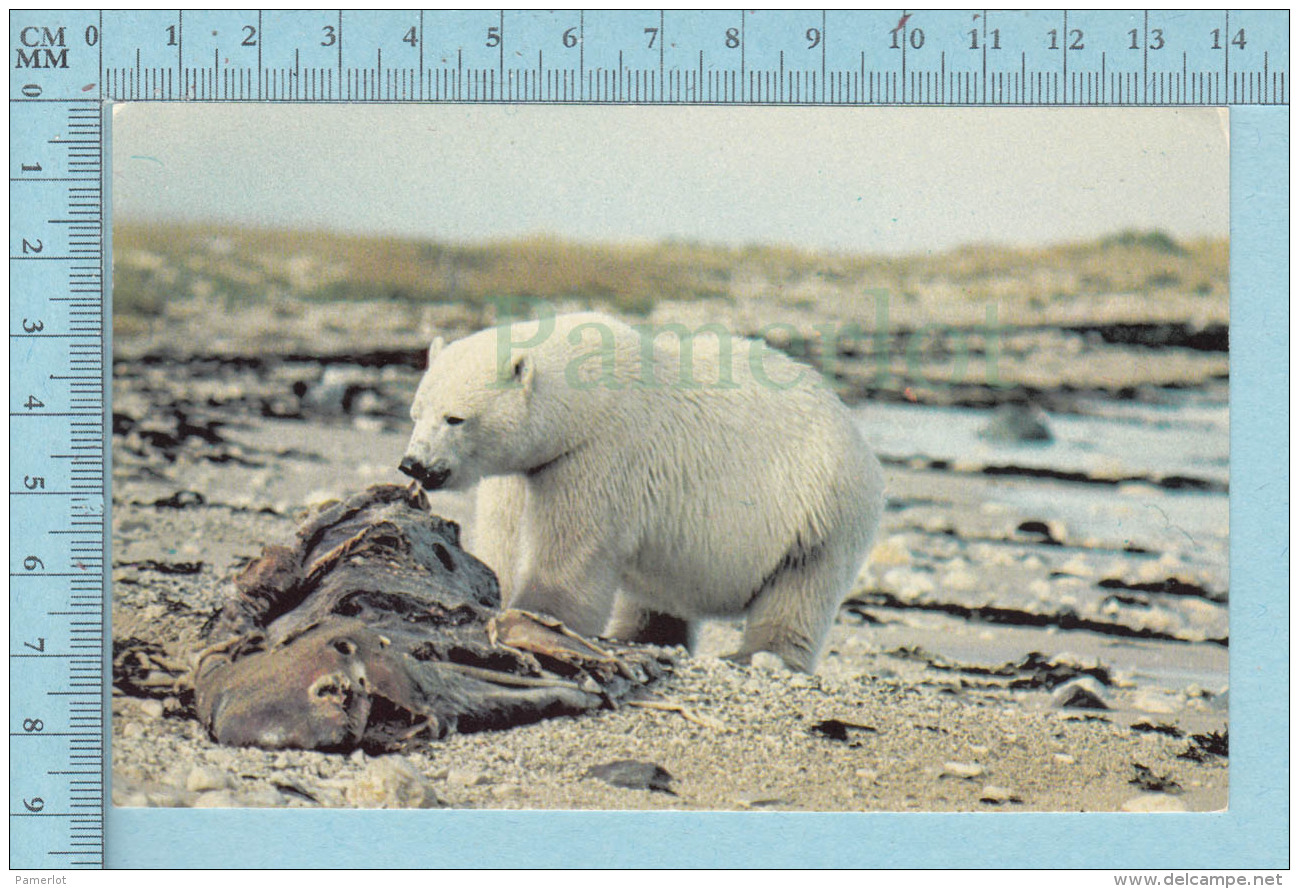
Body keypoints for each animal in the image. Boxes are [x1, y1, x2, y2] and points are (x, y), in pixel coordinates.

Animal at [394, 309, 883, 670]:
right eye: (416, 411)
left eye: (455, 418)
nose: (413, 464)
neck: (582, 405)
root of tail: (855, 431)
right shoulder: (525, 467)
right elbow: (504, 534)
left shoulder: (599, 455)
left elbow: (572, 547)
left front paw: (539, 616)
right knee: (659, 595)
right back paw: (639, 636)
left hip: (819, 508)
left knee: (800, 585)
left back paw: (759, 654)